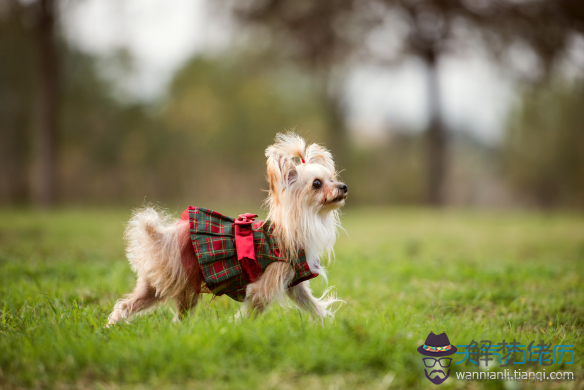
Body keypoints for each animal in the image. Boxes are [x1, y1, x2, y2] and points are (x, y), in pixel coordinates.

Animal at [106, 133, 346, 324]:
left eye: (333, 179)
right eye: (316, 184)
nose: (343, 186)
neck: (298, 224)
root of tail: (161, 236)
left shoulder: (294, 285)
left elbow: (312, 304)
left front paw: (327, 325)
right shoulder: (264, 286)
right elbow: (254, 309)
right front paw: (240, 327)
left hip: (158, 286)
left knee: (130, 306)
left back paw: (113, 326)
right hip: (181, 283)